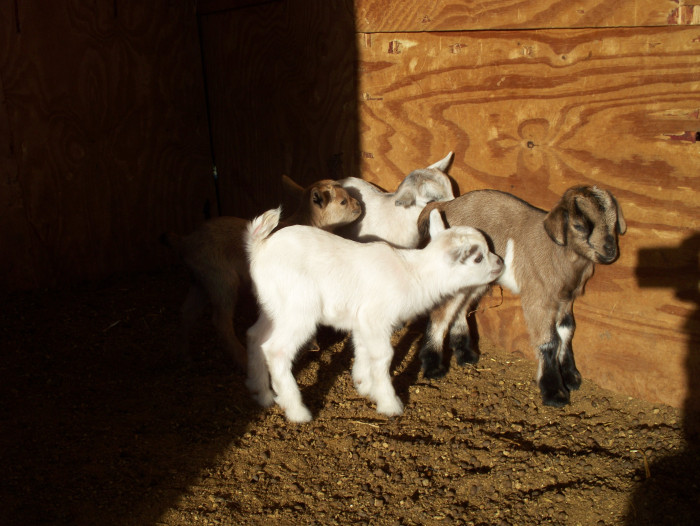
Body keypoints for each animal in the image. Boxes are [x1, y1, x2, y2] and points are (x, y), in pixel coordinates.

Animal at [162, 179, 361, 369]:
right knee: (220, 322)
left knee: (187, 312)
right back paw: (242, 359)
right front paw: (312, 343)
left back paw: (185, 356)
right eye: (343, 201)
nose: (359, 205)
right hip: (221, 280)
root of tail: (184, 242)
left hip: (201, 280)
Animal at [245, 206, 504, 422]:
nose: (500, 263)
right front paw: (389, 404)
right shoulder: (375, 317)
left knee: (254, 336)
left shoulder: (363, 321)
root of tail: (260, 248)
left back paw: (262, 394)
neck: (415, 274)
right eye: (478, 258)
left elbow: (362, 349)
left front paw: (363, 384)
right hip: (300, 308)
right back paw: (297, 412)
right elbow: (383, 356)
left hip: (272, 306)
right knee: (276, 350)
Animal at [416, 185, 626, 407]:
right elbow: (550, 340)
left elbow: (567, 330)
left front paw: (571, 376)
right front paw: (554, 392)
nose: (610, 251)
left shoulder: (565, 299)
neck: (558, 253)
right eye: (578, 225)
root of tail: (447, 205)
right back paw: (433, 366)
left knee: (459, 308)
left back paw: (466, 355)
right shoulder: (538, 297)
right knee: (442, 312)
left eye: (613, 222)